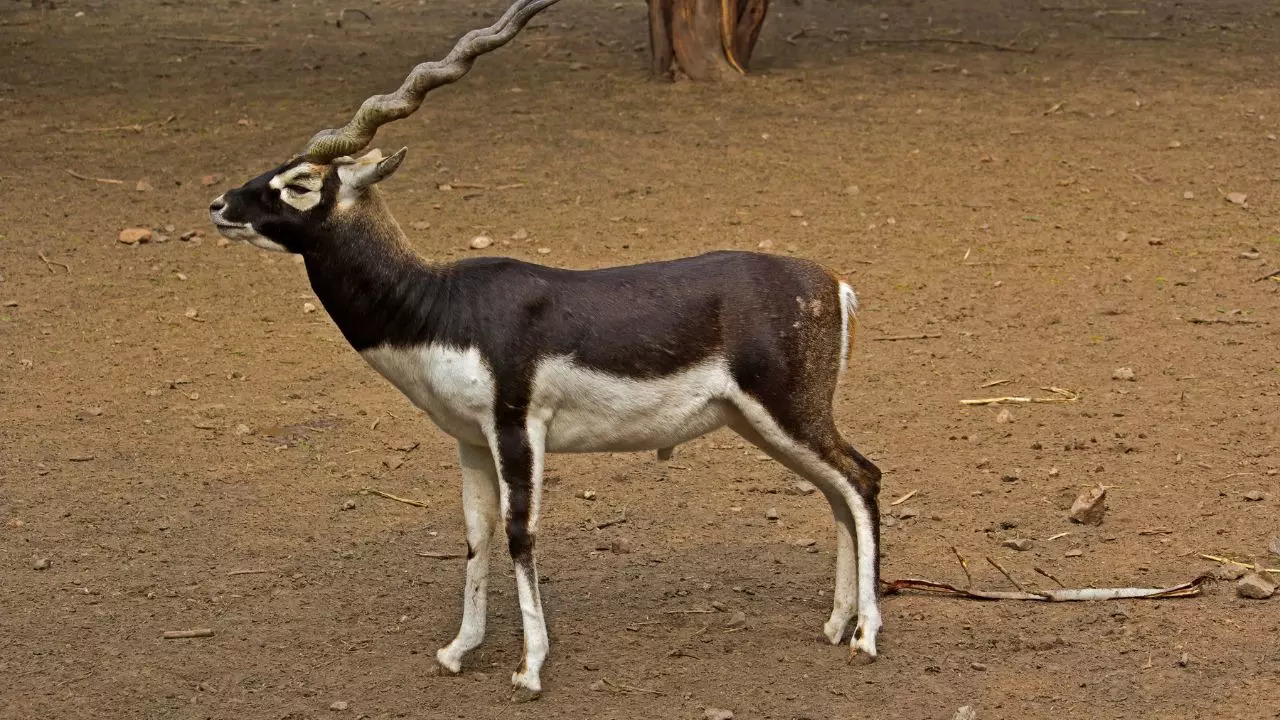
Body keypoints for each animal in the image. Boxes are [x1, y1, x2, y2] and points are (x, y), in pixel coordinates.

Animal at [212, 0, 880, 702]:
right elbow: (475, 535)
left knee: (863, 479)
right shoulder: (470, 438)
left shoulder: (516, 427)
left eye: (299, 182)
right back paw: (836, 624)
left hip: (788, 411)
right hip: (762, 422)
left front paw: (530, 667)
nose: (219, 204)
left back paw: (867, 636)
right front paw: (459, 650)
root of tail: (834, 284)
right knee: (836, 492)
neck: (439, 304)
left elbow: (518, 533)